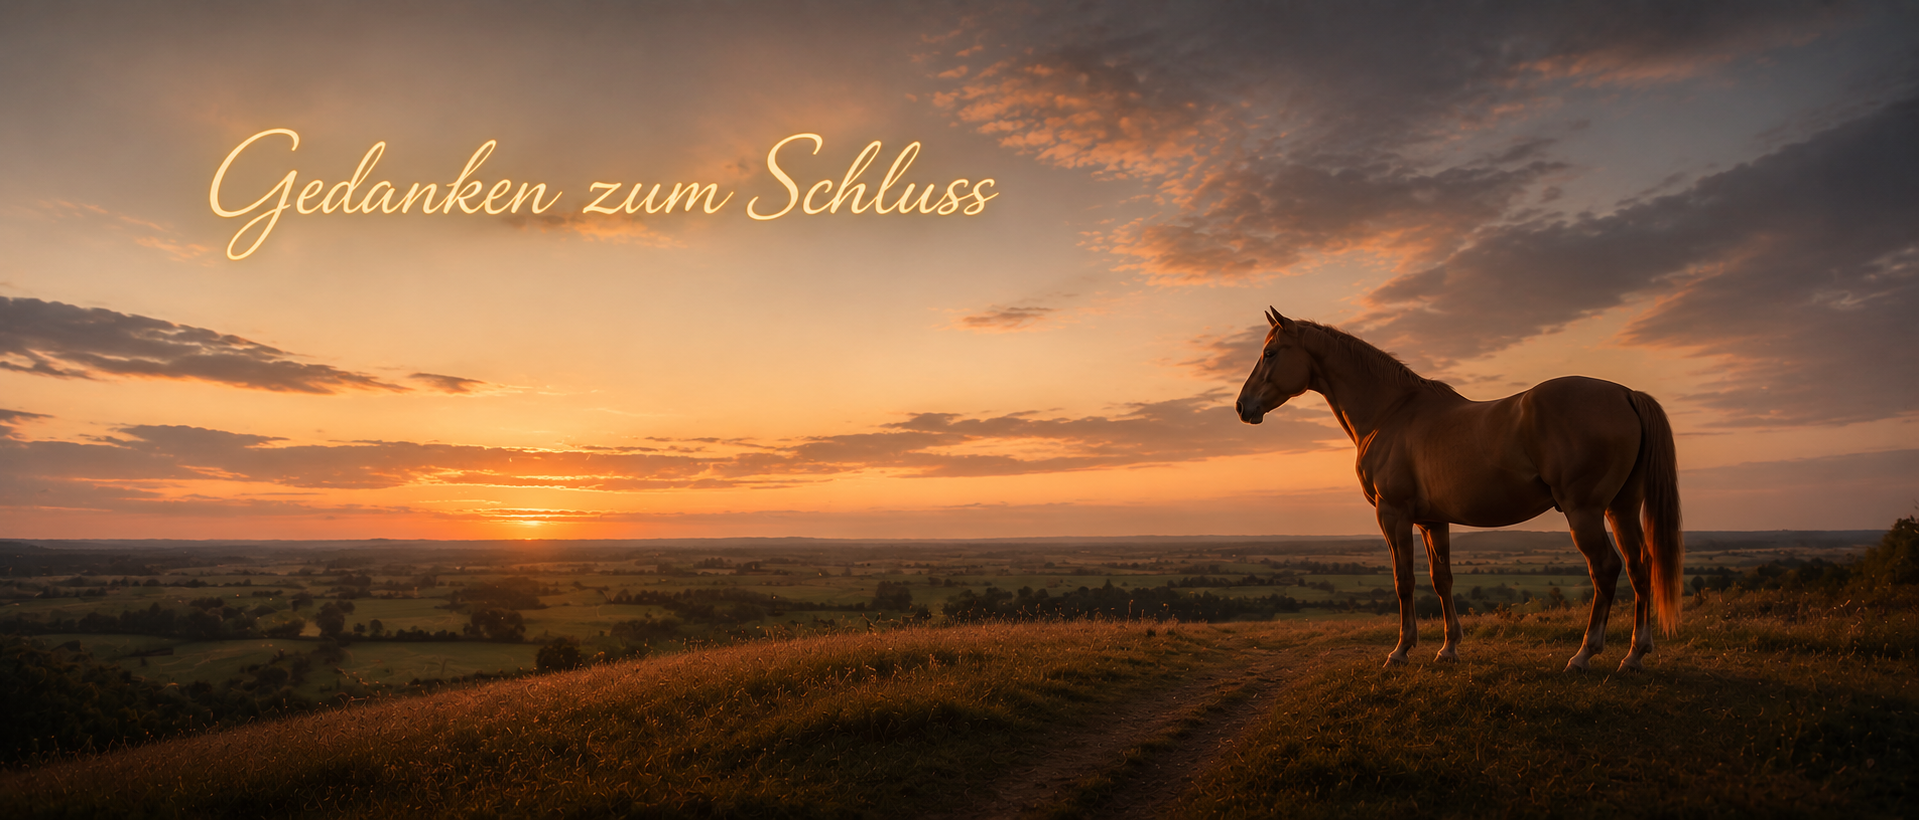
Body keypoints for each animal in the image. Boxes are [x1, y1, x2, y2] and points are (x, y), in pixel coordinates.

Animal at [1234, 308, 1683, 671]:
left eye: (1270, 353)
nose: (1243, 406)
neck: (1389, 412)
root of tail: (1626, 394)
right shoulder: (1433, 521)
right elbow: (1442, 579)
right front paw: (1448, 649)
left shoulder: (1392, 514)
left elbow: (1404, 580)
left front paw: (1401, 651)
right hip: (1621, 508)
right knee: (1640, 566)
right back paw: (1634, 655)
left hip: (1584, 511)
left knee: (1605, 568)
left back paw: (1584, 655)